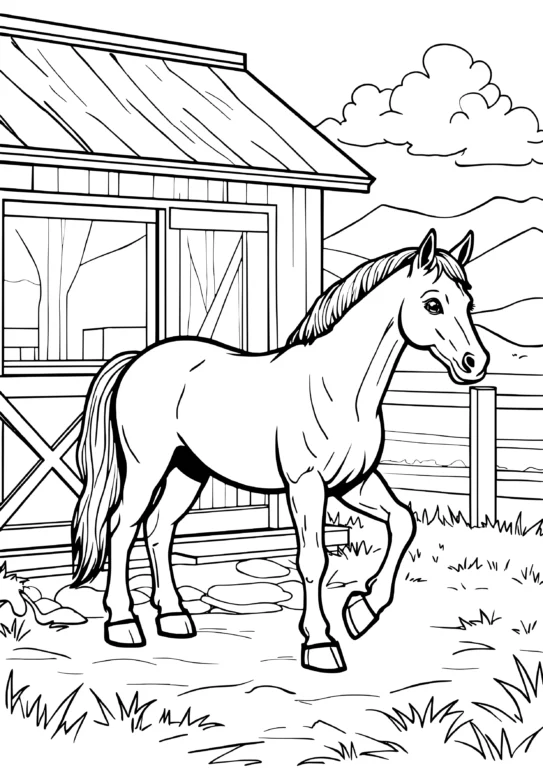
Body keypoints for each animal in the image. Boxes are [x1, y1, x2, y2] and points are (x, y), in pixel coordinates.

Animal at [71, 228, 488, 673]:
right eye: (433, 303)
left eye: (468, 302)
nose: (475, 363)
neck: (337, 390)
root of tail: (138, 359)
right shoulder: (307, 485)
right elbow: (314, 559)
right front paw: (320, 644)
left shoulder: (353, 483)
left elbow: (403, 522)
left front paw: (362, 610)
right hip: (146, 469)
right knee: (122, 528)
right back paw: (123, 623)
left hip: (188, 472)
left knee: (159, 530)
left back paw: (173, 616)